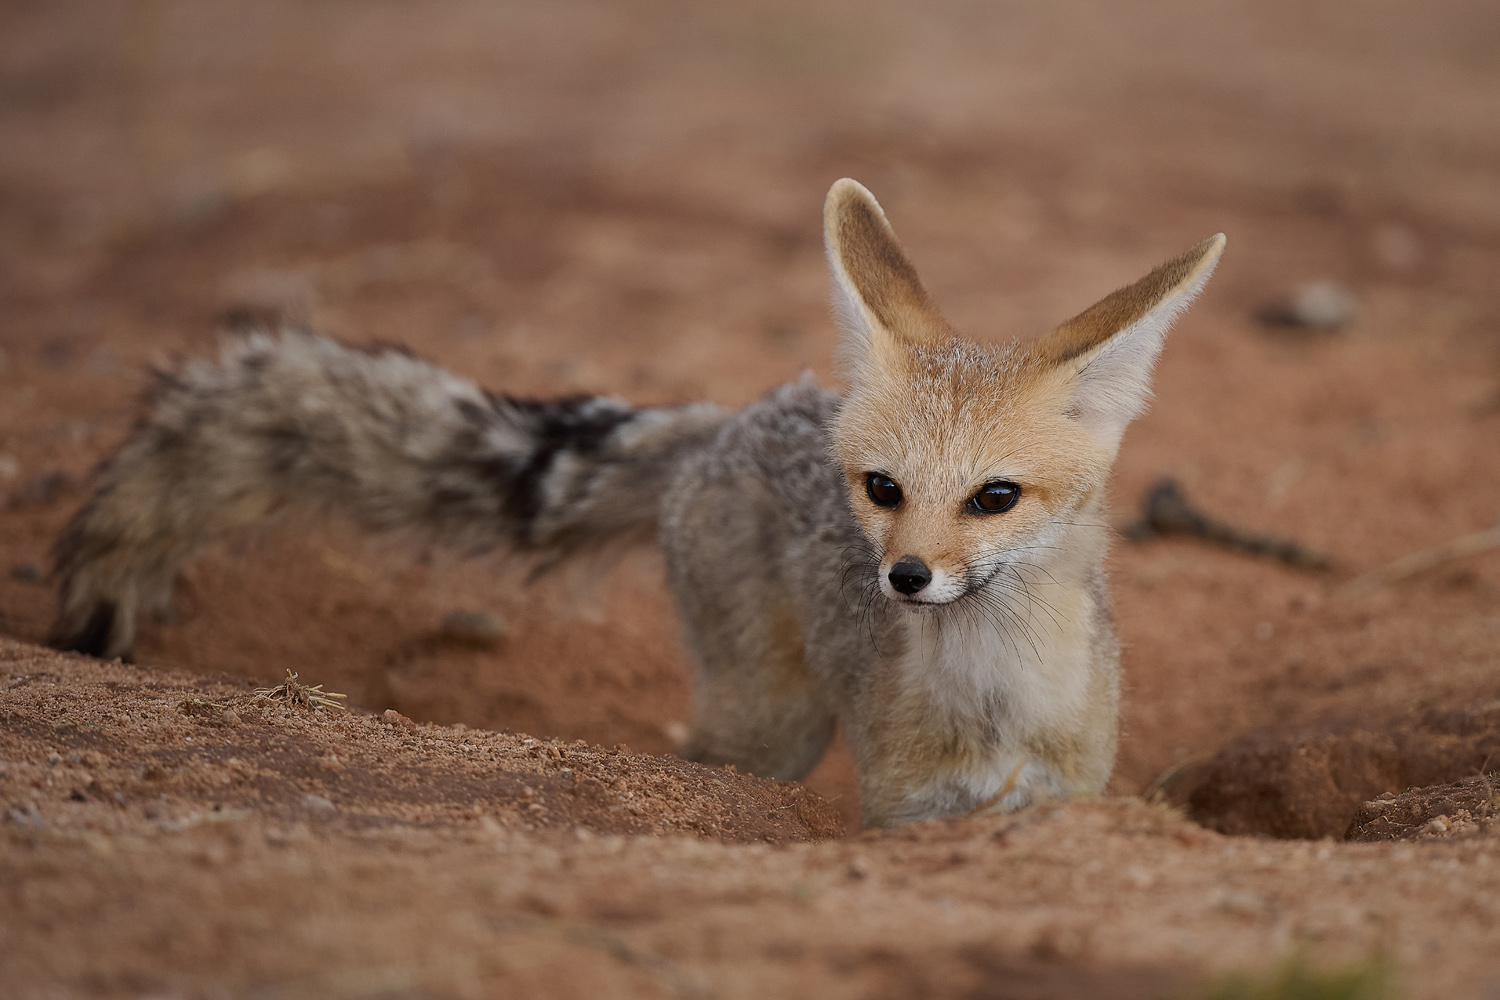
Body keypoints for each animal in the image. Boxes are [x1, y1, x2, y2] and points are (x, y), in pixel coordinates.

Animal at [47, 178, 1224, 828]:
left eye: (995, 496)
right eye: (884, 489)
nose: (904, 576)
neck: (995, 702)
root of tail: (733, 414)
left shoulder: (1067, 797)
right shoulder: (902, 809)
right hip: (768, 728)